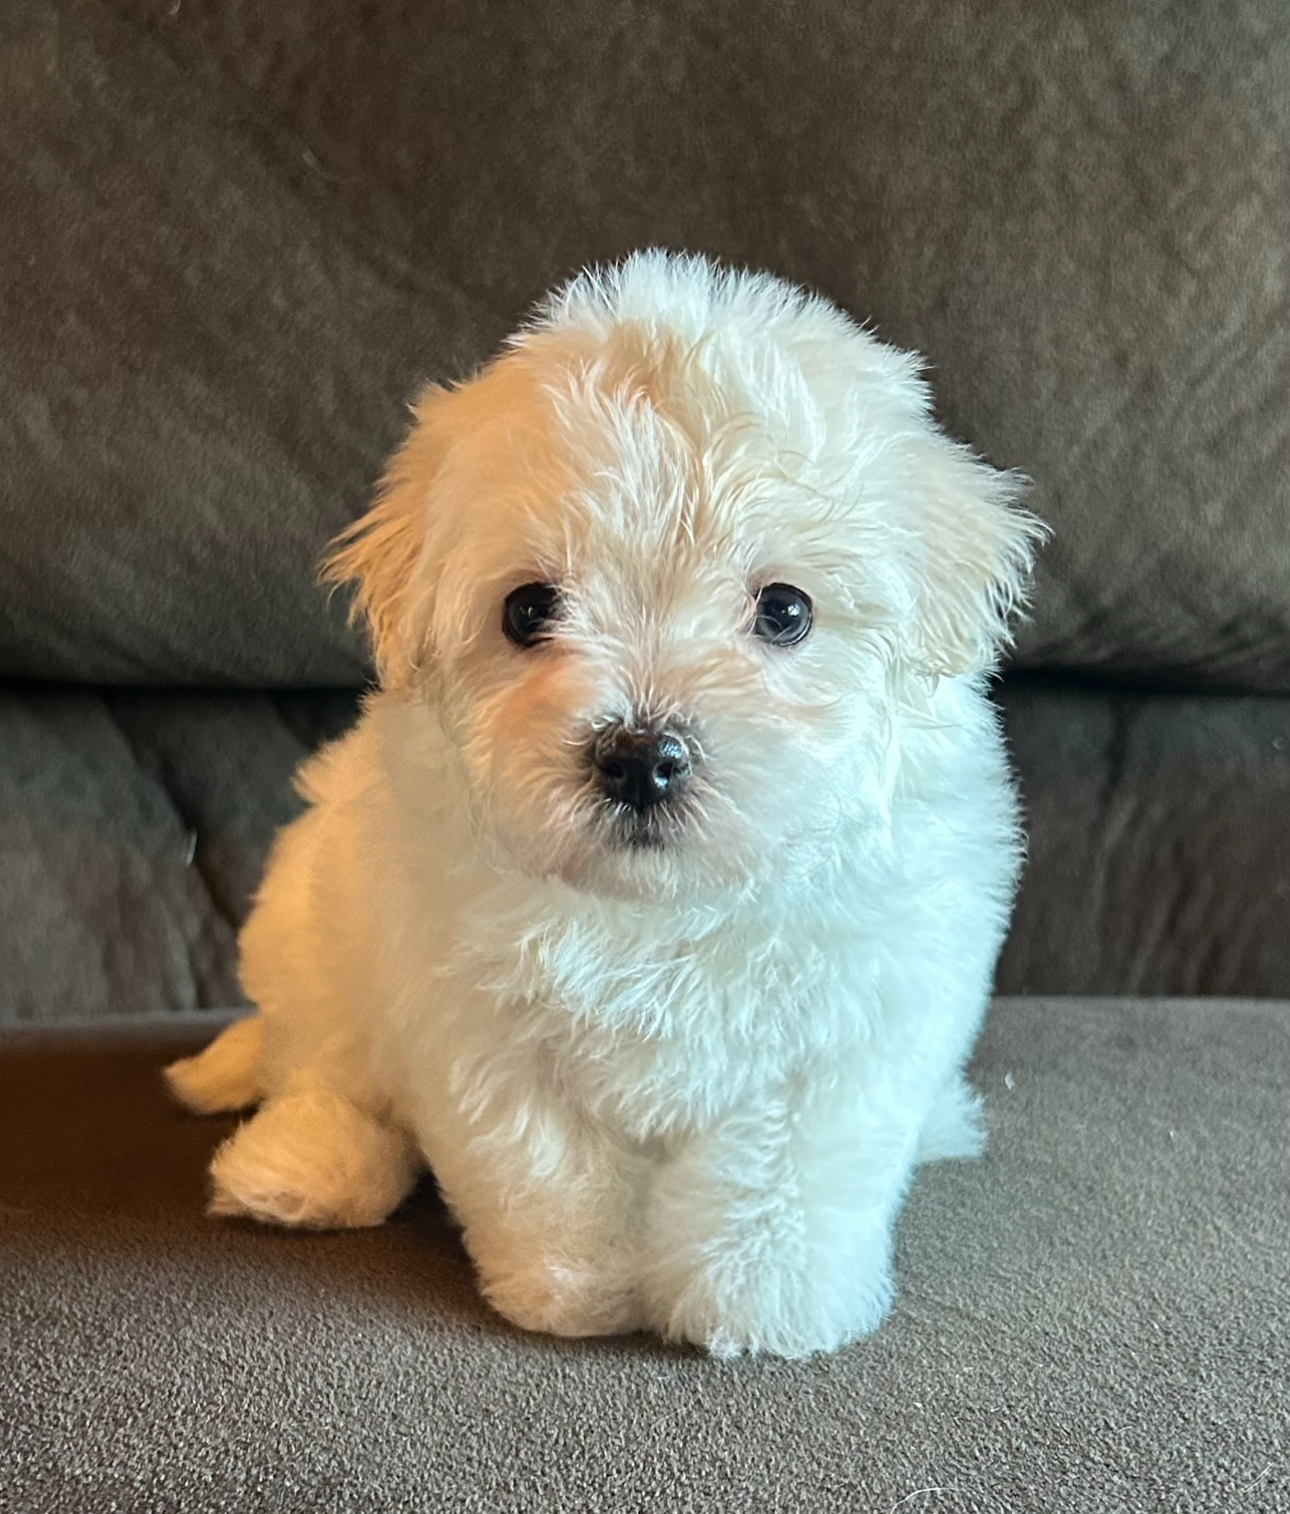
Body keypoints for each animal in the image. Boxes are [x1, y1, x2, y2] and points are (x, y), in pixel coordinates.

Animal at [166, 251, 1041, 1362]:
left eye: (785, 609)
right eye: (528, 609)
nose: (639, 758)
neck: (660, 904)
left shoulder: (845, 1021)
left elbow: (781, 1173)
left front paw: (765, 1302)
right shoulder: (482, 1021)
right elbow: (551, 1169)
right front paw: (580, 1288)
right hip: (314, 931)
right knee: (324, 1062)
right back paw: (306, 1164)